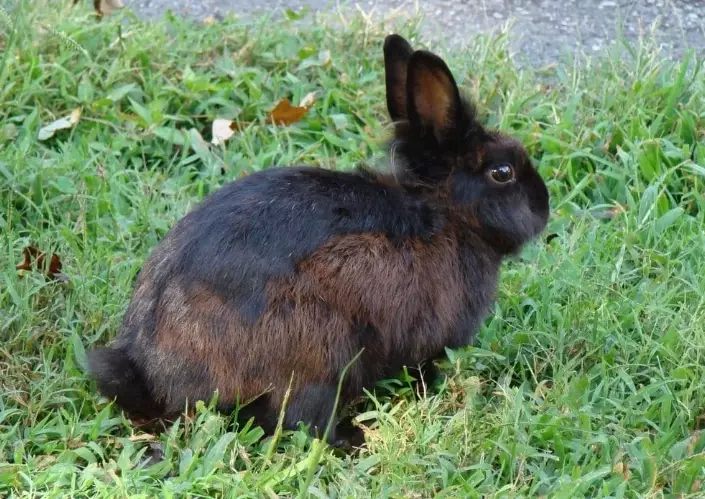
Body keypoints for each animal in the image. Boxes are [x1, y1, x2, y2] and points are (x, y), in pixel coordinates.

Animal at [87, 34, 550, 448]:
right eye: (503, 172)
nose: (544, 206)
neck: (444, 211)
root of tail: (158, 377)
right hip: (322, 353)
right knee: (298, 419)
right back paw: (353, 438)